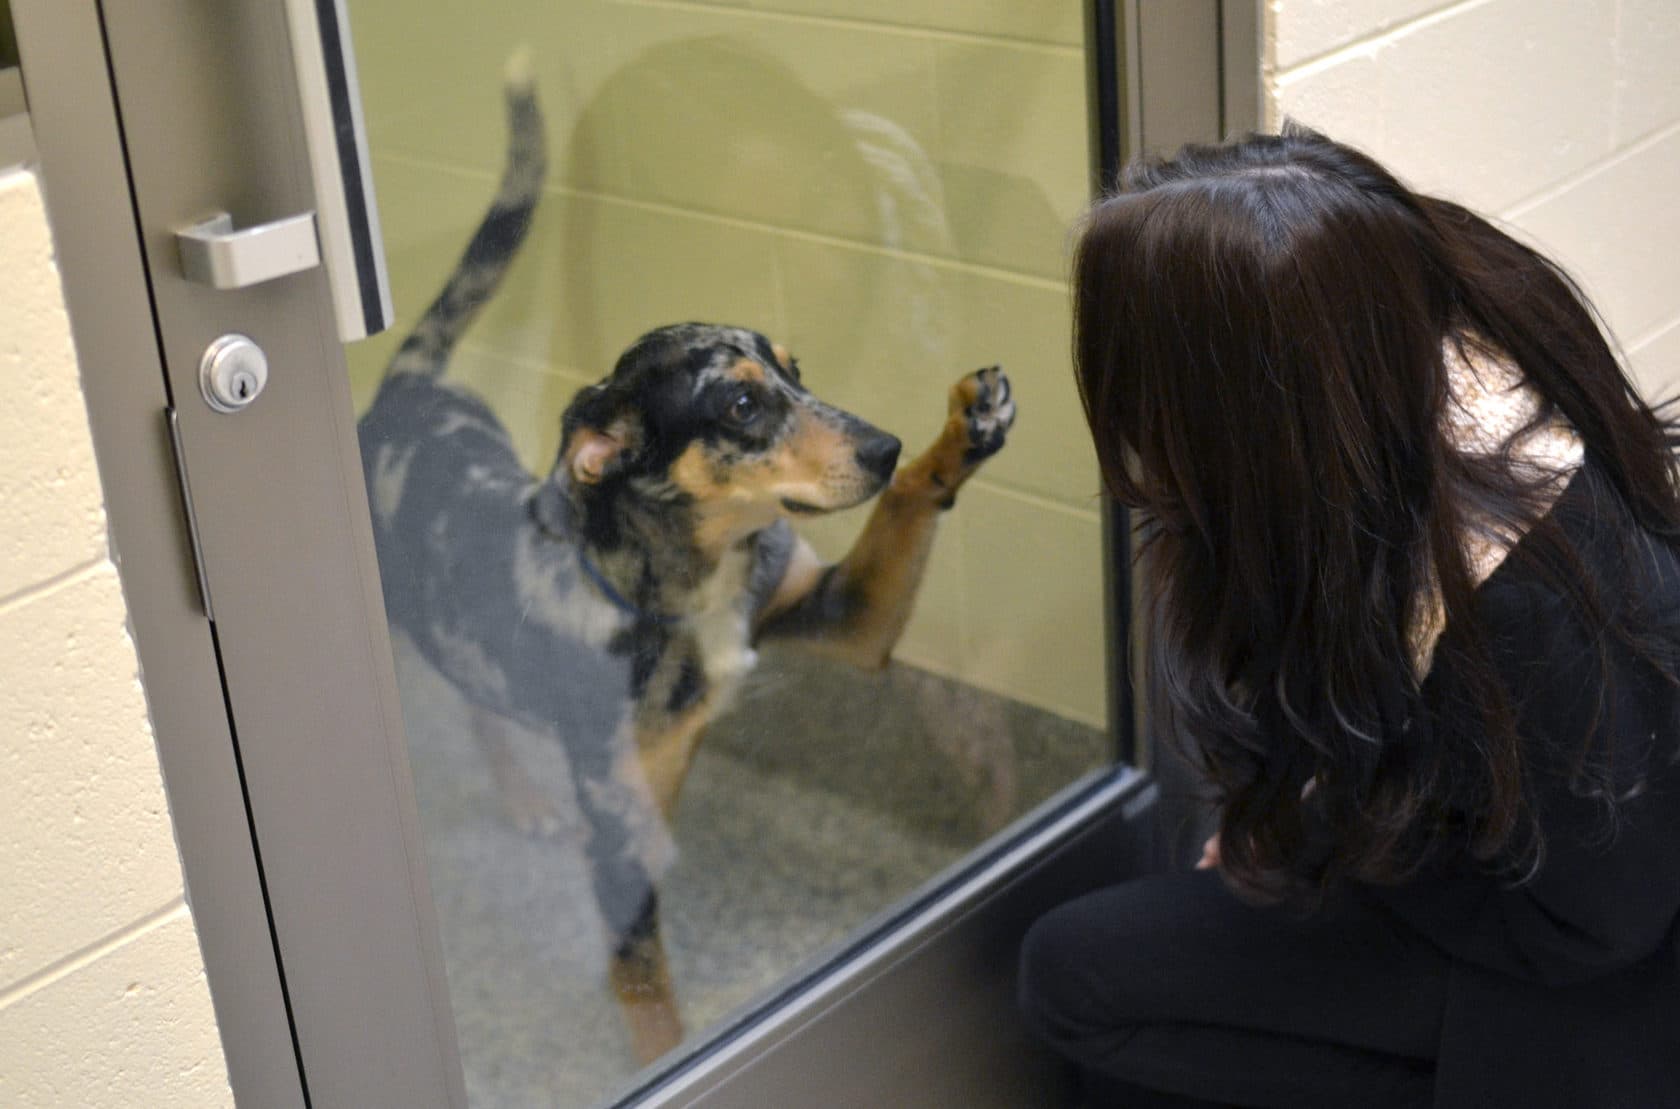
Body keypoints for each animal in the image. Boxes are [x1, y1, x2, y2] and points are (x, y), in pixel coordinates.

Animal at [357, 65, 1007, 1061]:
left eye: (797, 371)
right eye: (739, 405)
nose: (884, 444)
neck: (684, 586)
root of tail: (402, 390)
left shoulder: (842, 617)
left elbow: (905, 509)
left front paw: (962, 433)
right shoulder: (615, 839)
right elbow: (649, 992)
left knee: (480, 706)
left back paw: (523, 797)